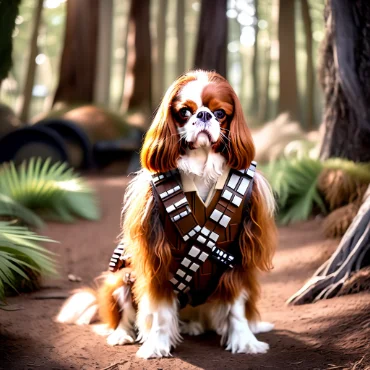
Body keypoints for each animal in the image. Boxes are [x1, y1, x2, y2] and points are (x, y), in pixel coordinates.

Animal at [57, 69, 278, 358]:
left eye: (220, 113)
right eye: (185, 111)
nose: (204, 115)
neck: (202, 165)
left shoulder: (236, 262)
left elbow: (237, 310)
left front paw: (245, 342)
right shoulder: (157, 261)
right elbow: (160, 313)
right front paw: (156, 346)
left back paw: (194, 326)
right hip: (120, 279)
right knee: (122, 314)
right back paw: (121, 334)